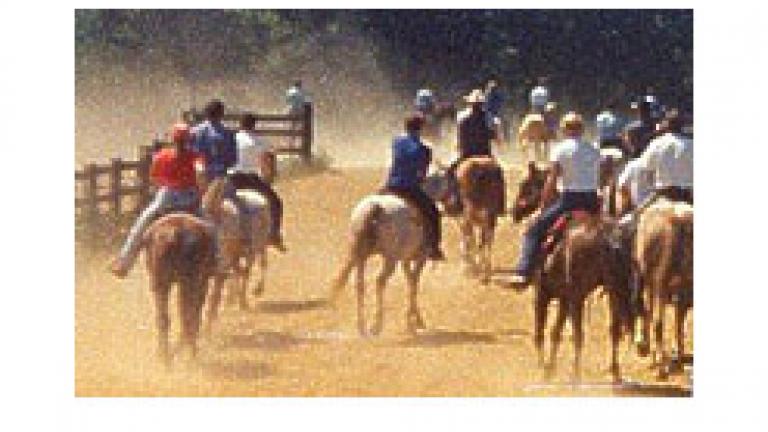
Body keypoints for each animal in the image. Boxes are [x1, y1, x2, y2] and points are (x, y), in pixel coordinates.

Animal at [142, 212, 218, 364]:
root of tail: (174, 233)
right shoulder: (201, 282)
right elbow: (194, 312)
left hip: (160, 283)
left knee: (163, 318)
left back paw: (165, 357)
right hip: (188, 282)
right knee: (187, 314)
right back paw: (190, 354)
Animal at [328, 170, 450, 336]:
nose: (457, 205)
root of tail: (375, 208)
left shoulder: (405, 260)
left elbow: (410, 280)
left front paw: (414, 319)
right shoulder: (421, 258)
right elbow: (414, 283)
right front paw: (413, 322)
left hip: (360, 255)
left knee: (360, 284)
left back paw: (361, 326)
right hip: (390, 258)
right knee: (380, 281)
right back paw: (376, 325)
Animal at [512, 162, 632, 382]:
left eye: (525, 185)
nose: (514, 211)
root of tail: (605, 235)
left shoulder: (543, 293)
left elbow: (540, 331)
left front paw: (543, 368)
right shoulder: (564, 297)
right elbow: (556, 331)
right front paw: (550, 367)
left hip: (579, 294)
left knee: (579, 333)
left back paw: (576, 373)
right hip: (614, 291)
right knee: (614, 329)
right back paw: (614, 371)